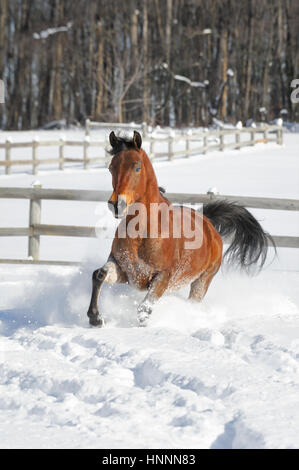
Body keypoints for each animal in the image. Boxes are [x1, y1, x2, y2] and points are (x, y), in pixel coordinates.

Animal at [86, 129, 274, 326]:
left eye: (137, 167)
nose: (116, 205)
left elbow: (143, 310)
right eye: (111, 167)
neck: (142, 234)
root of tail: (209, 225)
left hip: (202, 281)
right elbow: (99, 274)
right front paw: (95, 318)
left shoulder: (162, 278)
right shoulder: (125, 271)